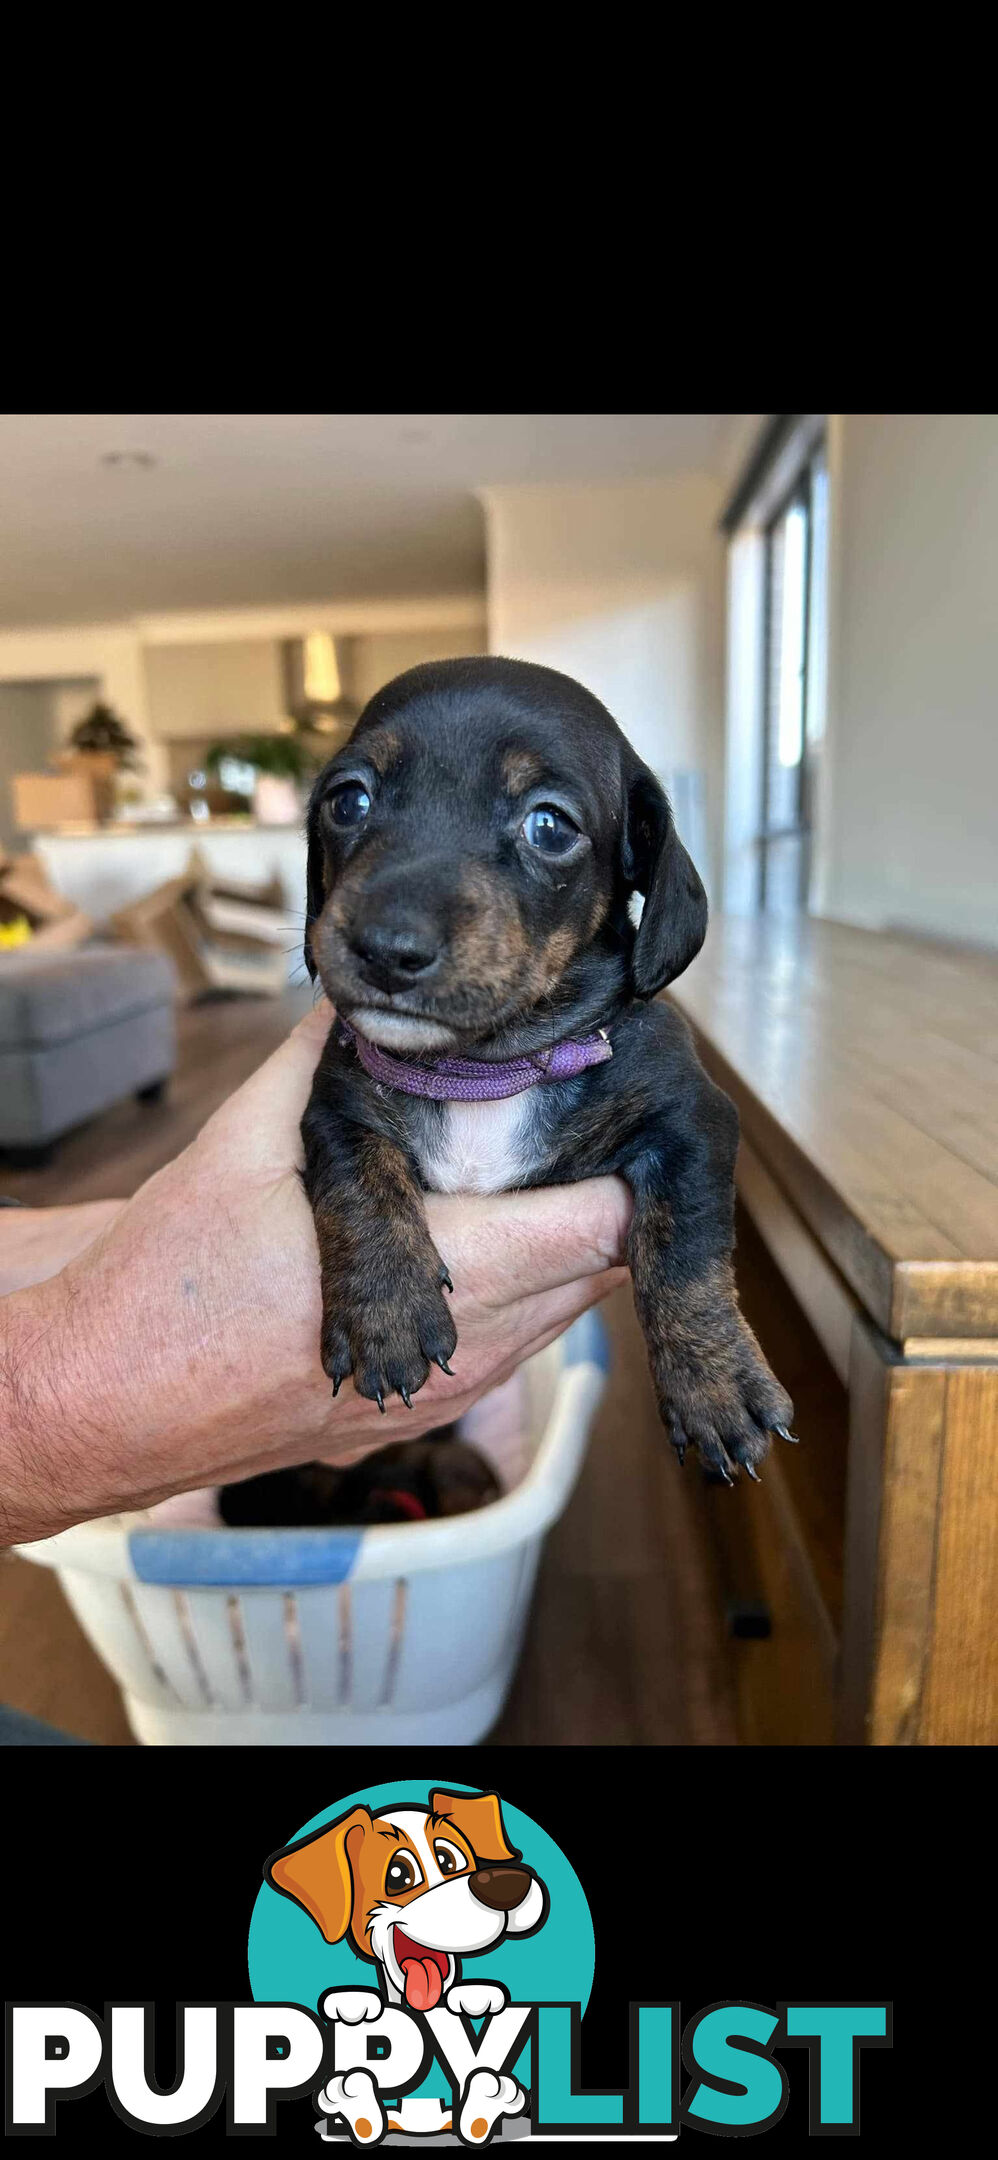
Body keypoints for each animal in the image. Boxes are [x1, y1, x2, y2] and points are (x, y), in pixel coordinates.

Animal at [295, 656, 794, 1486]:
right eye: (348, 800)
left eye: (550, 825)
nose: (386, 947)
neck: (482, 1069)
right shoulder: (335, 1103)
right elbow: (357, 1182)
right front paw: (385, 1312)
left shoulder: (694, 1121)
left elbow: (685, 1245)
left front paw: (716, 1382)